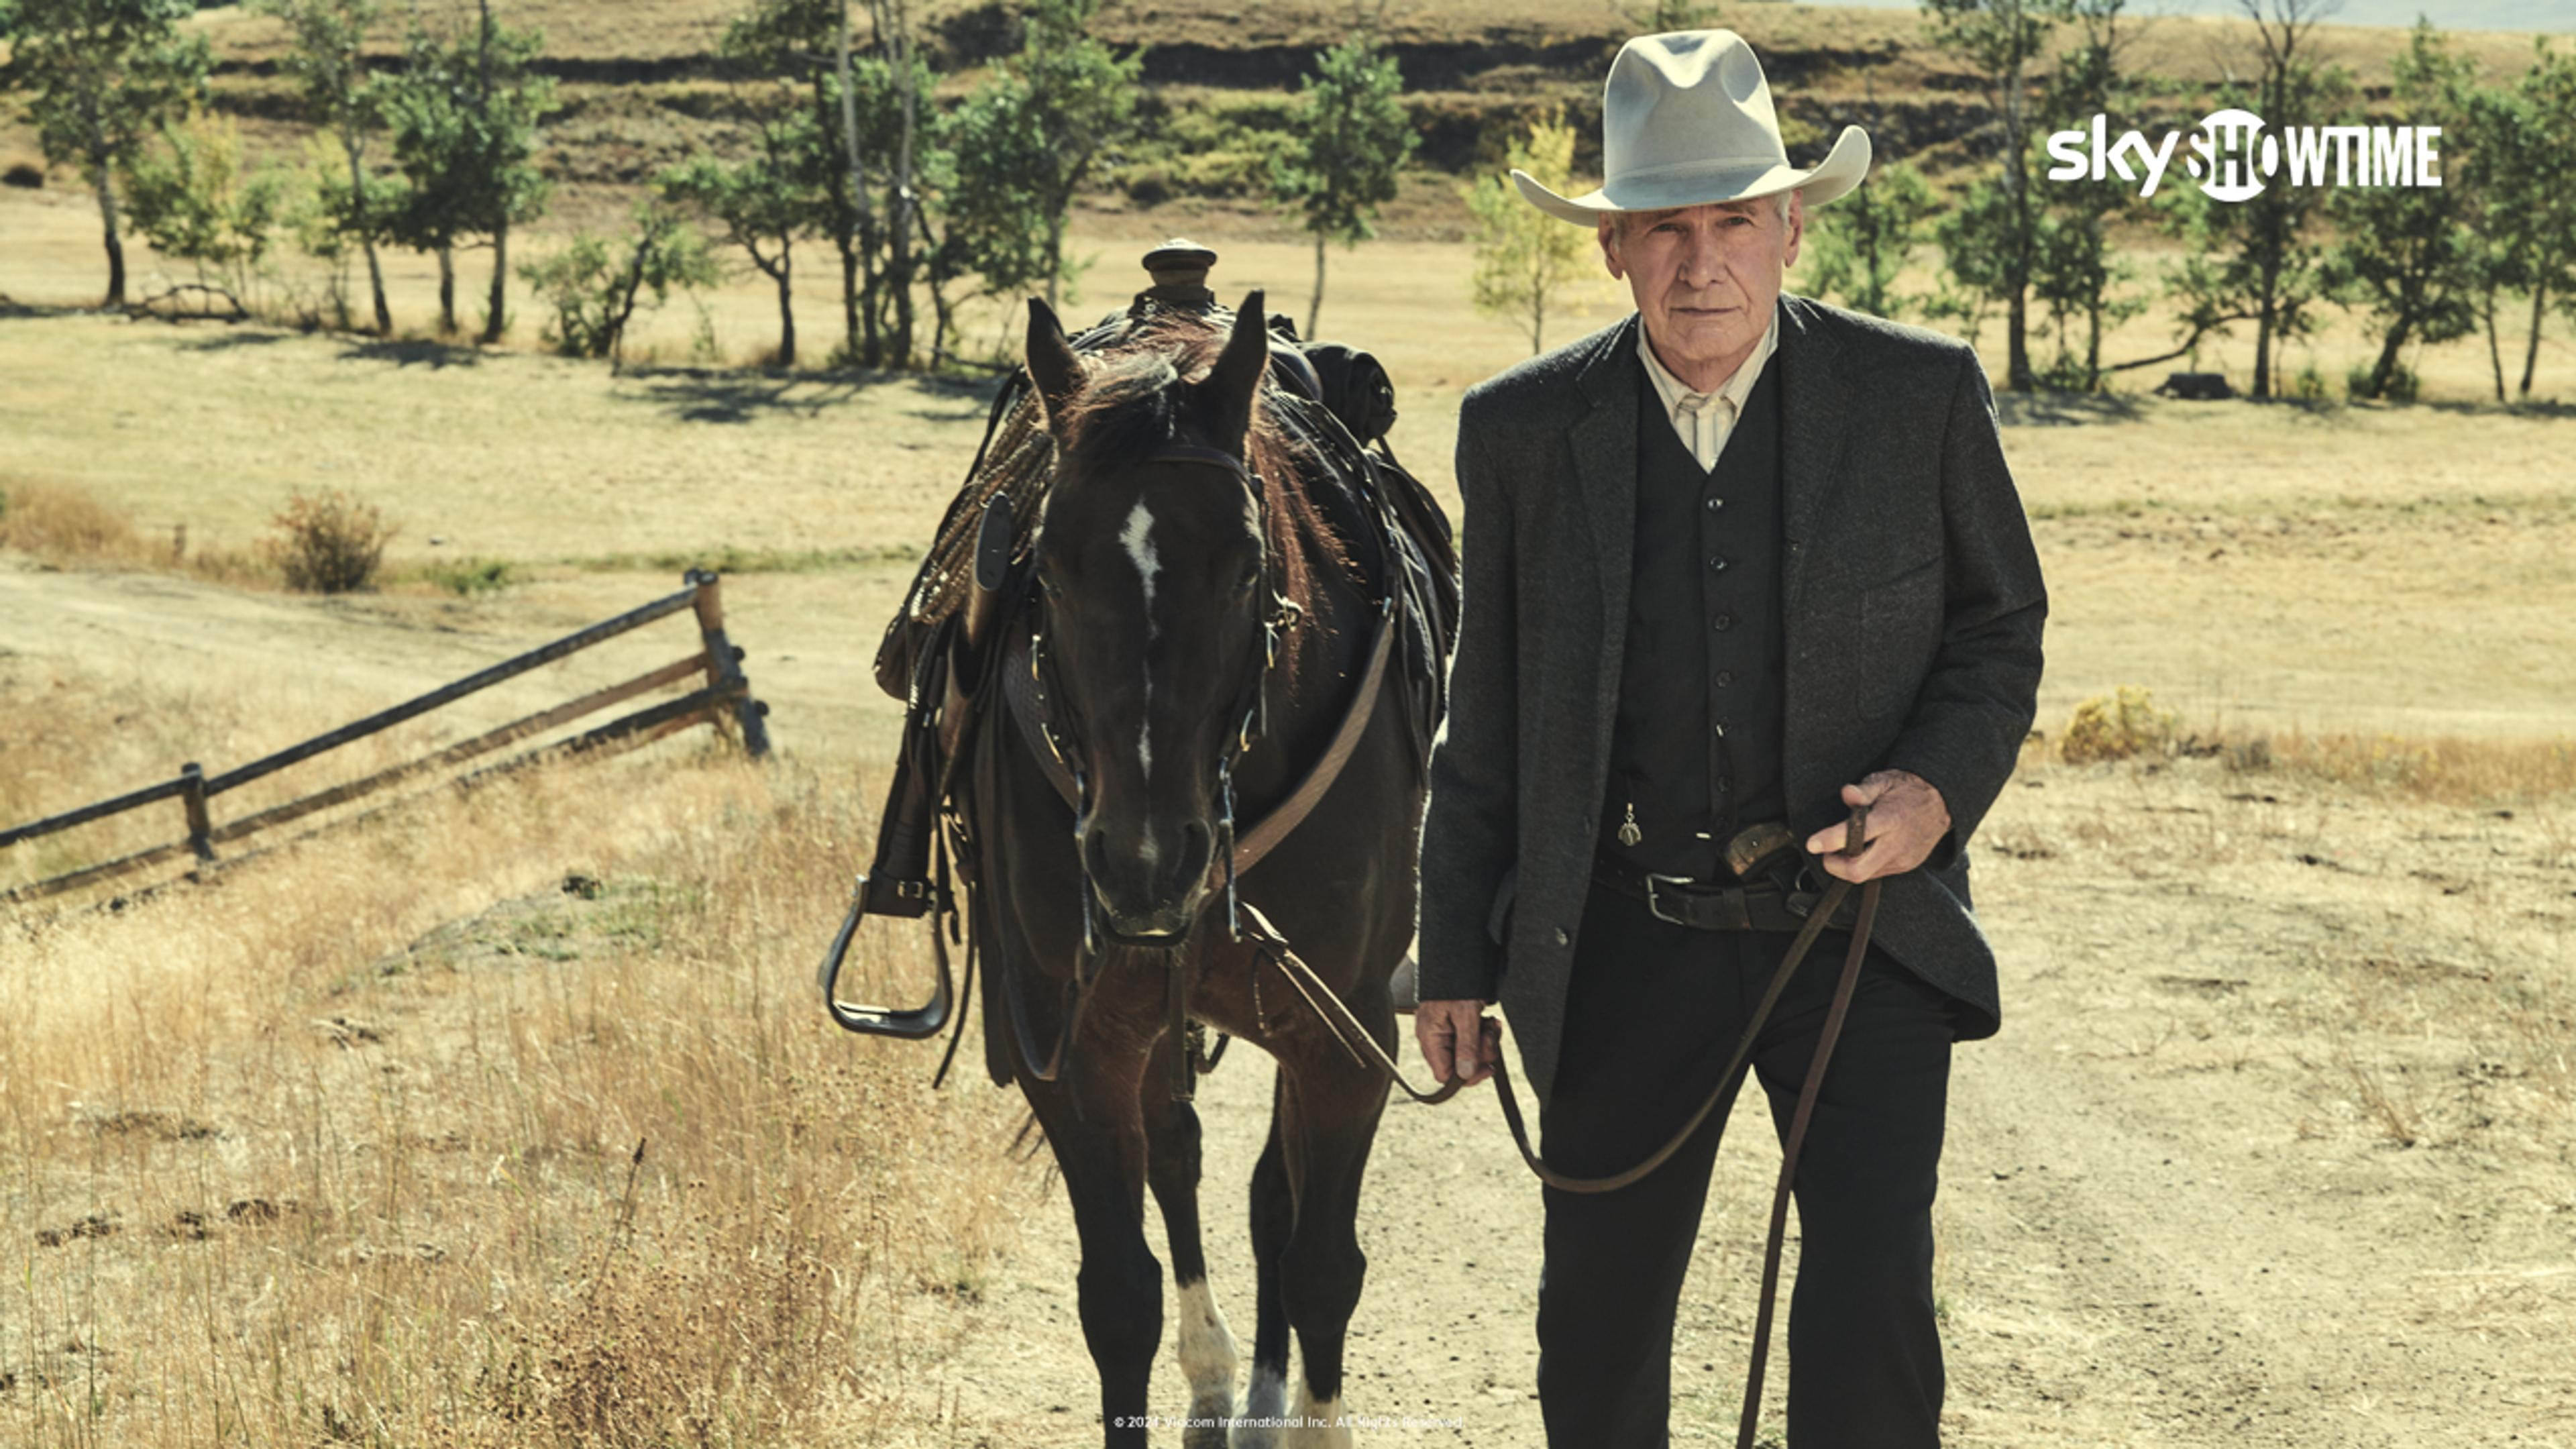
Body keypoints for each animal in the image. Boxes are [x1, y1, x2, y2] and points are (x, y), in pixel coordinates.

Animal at [958, 296, 1432, 1444]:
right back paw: (1218, 1375)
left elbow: (1321, 1264)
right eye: (1048, 563)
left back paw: (1259, 1390)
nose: (1144, 865)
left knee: (1272, 1201)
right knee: (1180, 1157)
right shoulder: (1075, 1048)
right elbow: (1118, 1294)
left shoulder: (1348, 1038)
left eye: (1246, 561)